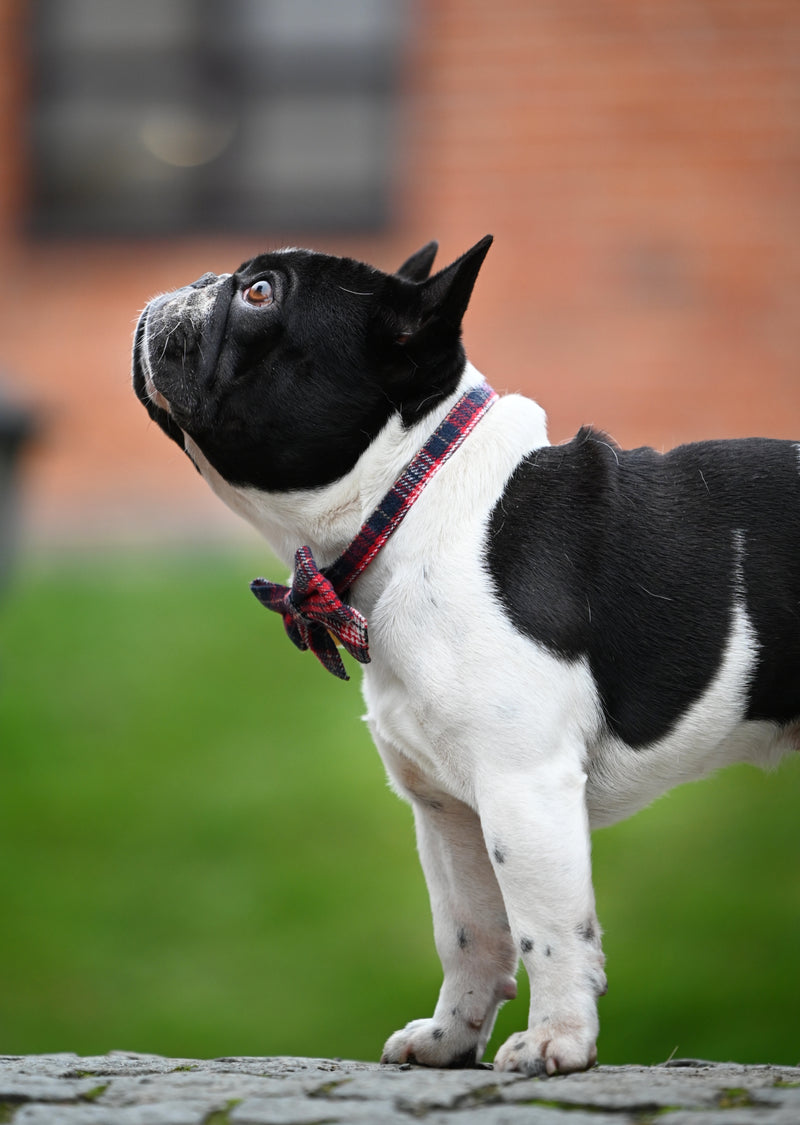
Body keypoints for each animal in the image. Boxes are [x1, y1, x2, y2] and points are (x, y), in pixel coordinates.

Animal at [132, 235, 800, 1071]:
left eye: (259, 293)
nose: (193, 281)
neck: (415, 503)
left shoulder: (524, 789)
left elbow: (547, 929)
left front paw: (556, 1039)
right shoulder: (447, 808)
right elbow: (469, 931)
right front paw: (451, 1036)